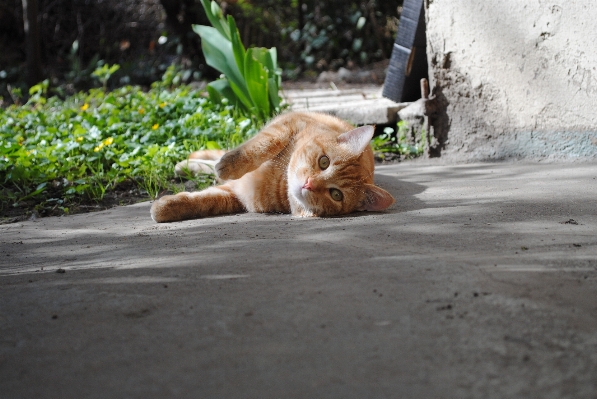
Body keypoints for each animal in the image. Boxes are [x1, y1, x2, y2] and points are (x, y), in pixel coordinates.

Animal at [149, 111, 394, 223]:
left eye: (336, 194)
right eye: (324, 162)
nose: (309, 184)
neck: (279, 180)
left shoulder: (234, 195)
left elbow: (204, 200)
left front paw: (165, 208)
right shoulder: (287, 124)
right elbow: (262, 145)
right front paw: (230, 164)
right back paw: (190, 162)